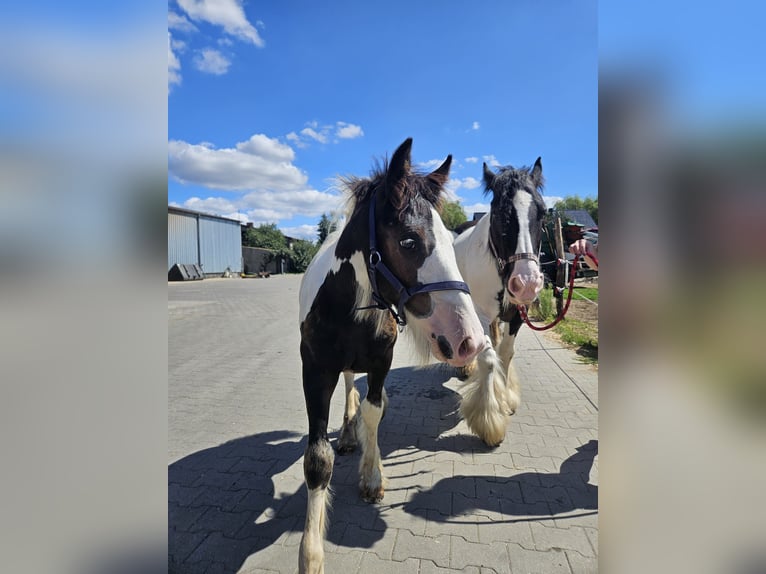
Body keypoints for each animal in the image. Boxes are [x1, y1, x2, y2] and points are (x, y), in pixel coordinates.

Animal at [298, 140, 486, 574]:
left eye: (451, 240)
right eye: (408, 241)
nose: (468, 340)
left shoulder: (381, 363)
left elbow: (374, 411)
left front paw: (372, 476)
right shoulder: (314, 372)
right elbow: (318, 458)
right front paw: (311, 554)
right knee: (348, 384)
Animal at [456, 160, 544, 448]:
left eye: (542, 212)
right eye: (499, 214)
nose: (527, 283)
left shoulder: (517, 316)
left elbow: (504, 353)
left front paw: (505, 397)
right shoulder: (479, 314)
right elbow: (488, 360)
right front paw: (489, 420)